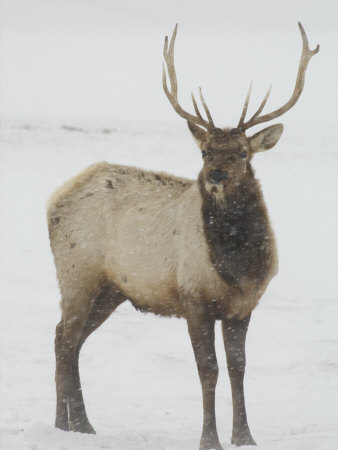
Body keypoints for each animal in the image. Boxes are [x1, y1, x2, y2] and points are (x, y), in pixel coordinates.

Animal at [48, 22, 320, 448]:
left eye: (242, 152)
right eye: (205, 151)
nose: (215, 176)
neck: (238, 269)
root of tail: (54, 199)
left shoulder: (244, 306)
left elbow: (239, 368)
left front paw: (245, 436)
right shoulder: (195, 298)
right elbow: (208, 370)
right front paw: (209, 438)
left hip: (111, 290)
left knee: (67, 338)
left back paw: (72, 424)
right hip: (77, 275)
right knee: (65, 340)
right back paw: (74, 425)